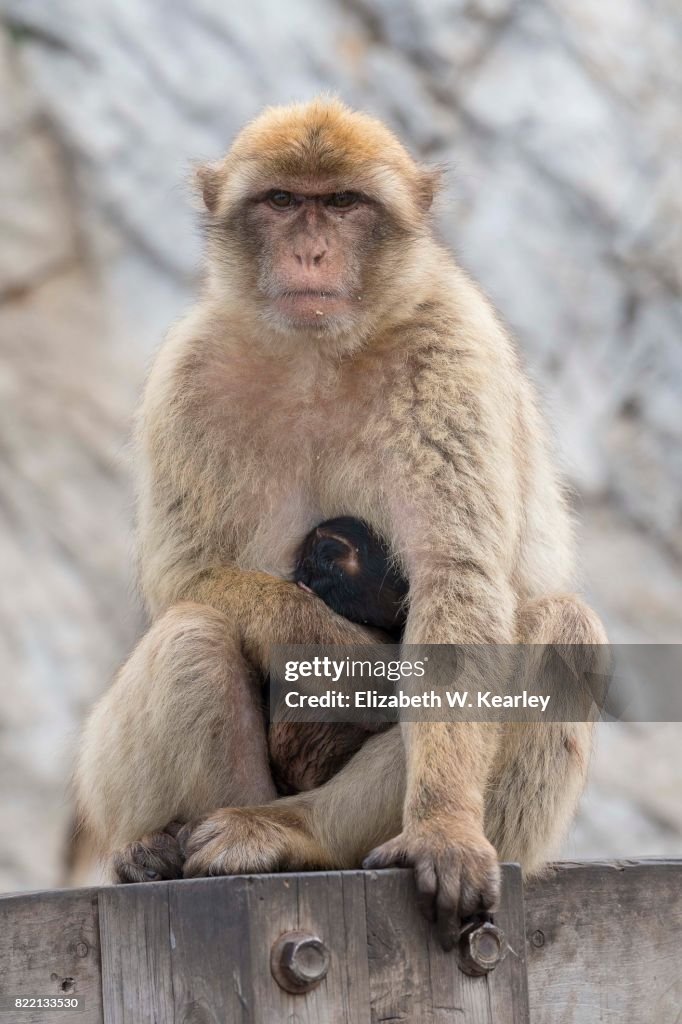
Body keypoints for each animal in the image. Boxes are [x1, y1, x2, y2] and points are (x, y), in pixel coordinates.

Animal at [75, 99, 606, 946]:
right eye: (284, 201)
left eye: (345, 203)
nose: (312, 251)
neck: (321, 353)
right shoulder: (189, 372)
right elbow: (187, 576)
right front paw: (351, 669)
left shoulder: (452, 352)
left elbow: (456, 584)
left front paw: (443, 827)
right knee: (193, 633)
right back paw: (179, 845)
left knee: (559, 630)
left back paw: (302, 834)